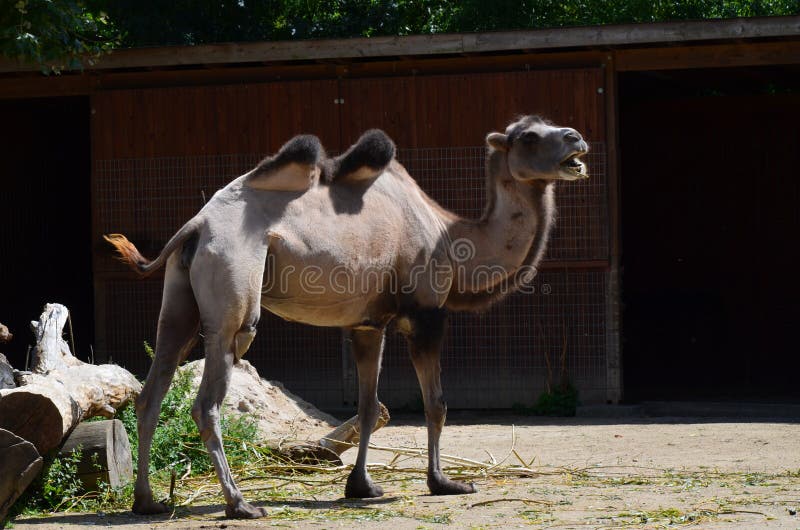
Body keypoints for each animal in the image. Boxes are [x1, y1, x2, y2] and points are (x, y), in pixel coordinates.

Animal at [104, 114, 588, 516]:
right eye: (528, 136)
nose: (576, 137)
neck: (449, 237)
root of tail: (197, 225)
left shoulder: (367, 325)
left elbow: (369, 406)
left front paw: (361, 486)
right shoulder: (426, 315)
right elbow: (436, 404)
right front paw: (443, 482)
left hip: (178, 299)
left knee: (151, 391)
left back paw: (146, 501)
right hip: (232, 289)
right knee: (209, 397)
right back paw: (239, 504)